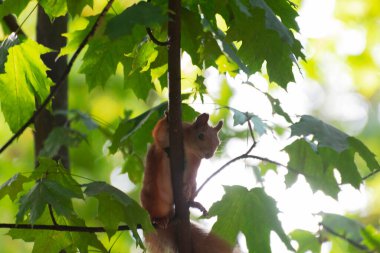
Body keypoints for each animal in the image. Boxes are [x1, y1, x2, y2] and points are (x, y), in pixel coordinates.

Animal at [140, 113, 232, 253]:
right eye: (200, 136)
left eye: (218, 142)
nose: (209, 154)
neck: (188, 147)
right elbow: (158, 132)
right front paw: (167, 117)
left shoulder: (194, 162)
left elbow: (190, 176)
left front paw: (186, 188)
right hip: (153, 197)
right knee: (154, 211)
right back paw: (159, 219)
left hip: (194, 187)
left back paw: (193, 203)